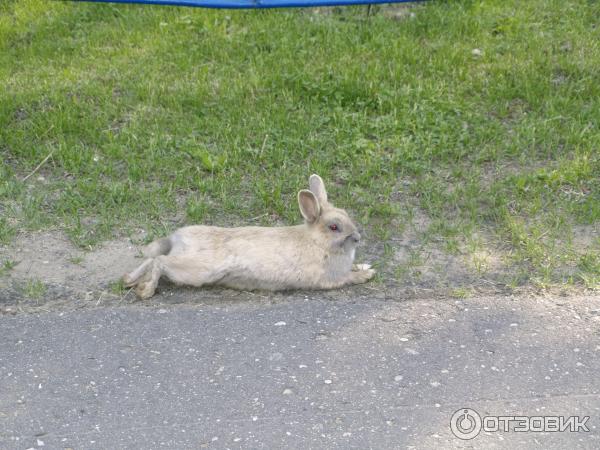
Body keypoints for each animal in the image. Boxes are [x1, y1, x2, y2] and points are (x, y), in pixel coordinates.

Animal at [122, 175, 376, 298]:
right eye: (334, 227)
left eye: (347, 214)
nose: (357, 237)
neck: (318, 241)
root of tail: (176, 238)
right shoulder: (330, 278)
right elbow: (348, 278)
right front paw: (367, 275)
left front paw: (366, 266)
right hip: (194, 270)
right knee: (160, 262)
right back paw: (145, 290)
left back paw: (129, 280)